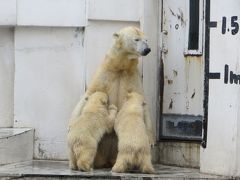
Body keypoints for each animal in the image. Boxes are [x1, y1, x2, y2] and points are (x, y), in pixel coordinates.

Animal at [70, 26, 155, 172]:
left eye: (146, 40)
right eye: (136, 39)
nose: (147, 49)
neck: (120, 67)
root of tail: (107, 160)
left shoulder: (133, 78)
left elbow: (143, 102)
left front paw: (151, 141)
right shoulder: (104, 73)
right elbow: (89, 94)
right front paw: (71, 126)